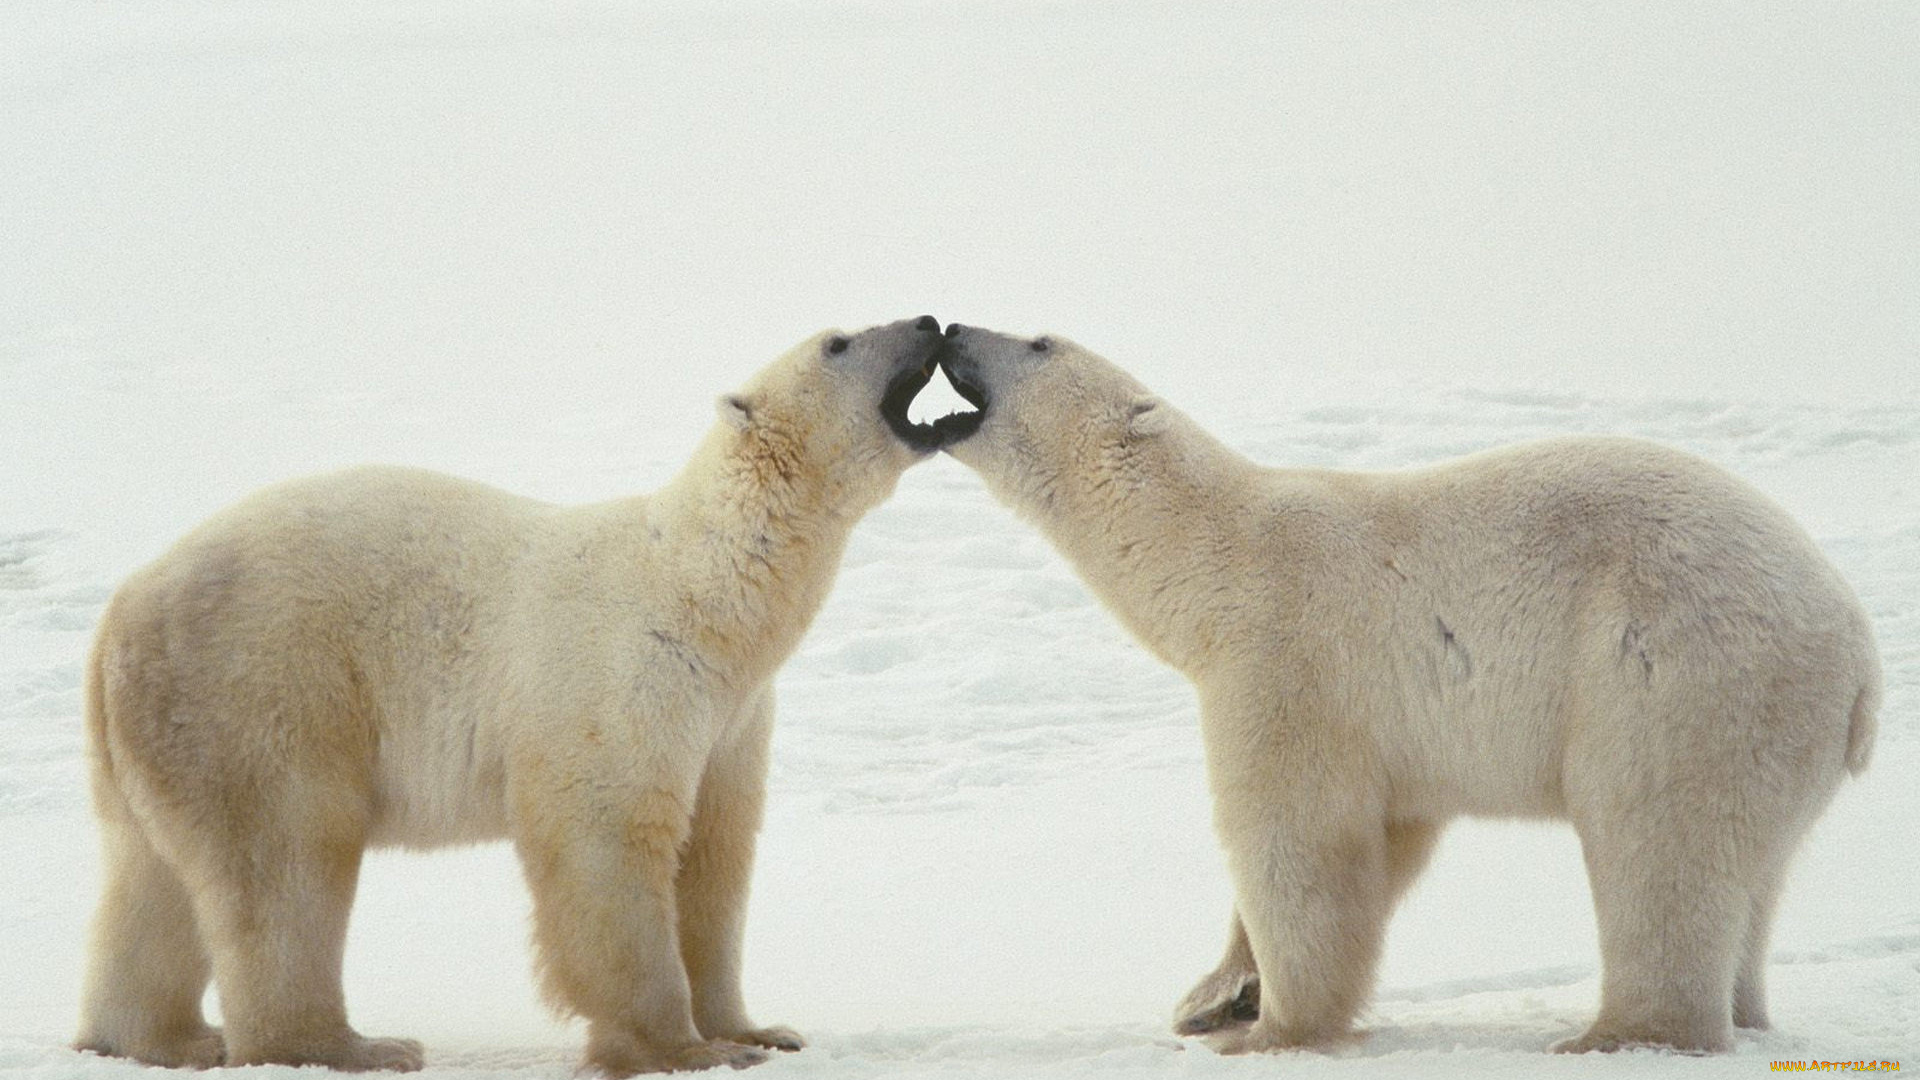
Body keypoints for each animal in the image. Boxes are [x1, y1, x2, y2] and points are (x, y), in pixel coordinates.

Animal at [78, 315, 956, 1068]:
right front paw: (681, 1047)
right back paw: (350, 1046)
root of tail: (119, 612)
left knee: (150, 881)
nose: (927, 322)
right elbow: (609, 841)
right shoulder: (622, 676)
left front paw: (758, 1029)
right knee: (286, 861)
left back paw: (158, 1037)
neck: (705, 595)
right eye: (838, 341)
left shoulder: (732, 717)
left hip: (163, 730)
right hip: (261, 688)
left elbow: (715, 852)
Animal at [936, 326, 1881, 1053]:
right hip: (1770, 728)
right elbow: (1387, 838)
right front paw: (1215, 994)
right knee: (1755, 873)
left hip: (1679, 676)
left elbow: (1298, 844)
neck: (1216, 557)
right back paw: (1744, 1012)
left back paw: (1619, 1032)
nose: (949, 329)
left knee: (1659, 846)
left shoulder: (1289, 662)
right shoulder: (1390, 729)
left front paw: (1272, 1028)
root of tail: (1860, 653)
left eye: (1038, 341)